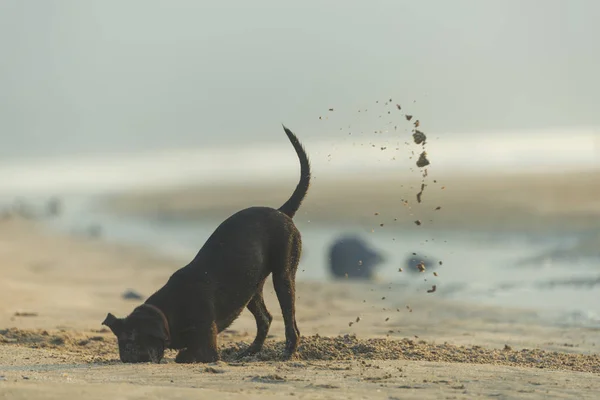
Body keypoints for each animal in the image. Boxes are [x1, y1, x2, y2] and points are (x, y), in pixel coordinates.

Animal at [102, 125, 310, 362]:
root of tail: (281, 211)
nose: (130, 358)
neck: (170, 310)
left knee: (290, 323)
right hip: (251, 289)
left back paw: (287, 353)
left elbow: (185, 354)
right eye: (123, 346)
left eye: (133, 342)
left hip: (283, 276)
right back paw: (248, 352)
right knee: (265, 319)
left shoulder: (207, 345)